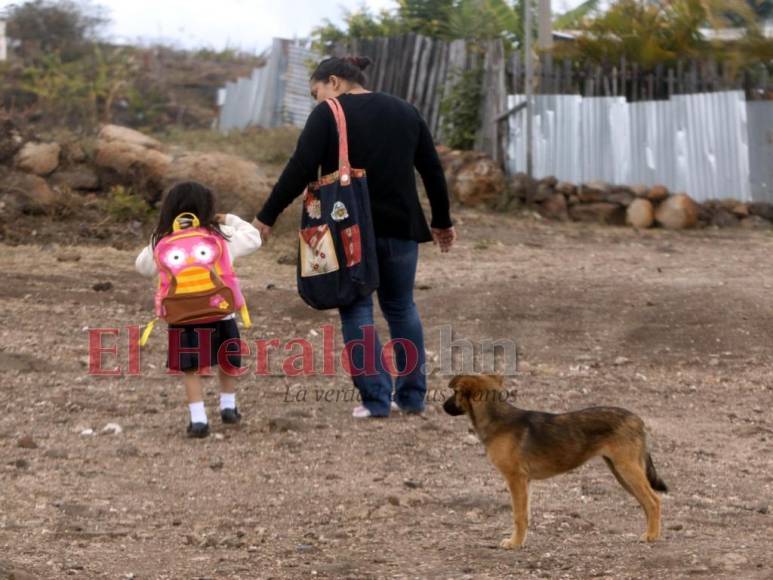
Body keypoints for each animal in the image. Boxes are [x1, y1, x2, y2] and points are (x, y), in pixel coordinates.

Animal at [444, 376, 668, 548]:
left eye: (455, 392)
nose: (443, 406)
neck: (497, 419)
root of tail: (637, 420)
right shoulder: (525, 482)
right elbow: (525, 515)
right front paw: (520, 541)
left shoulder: (515, 479)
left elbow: (518, 515)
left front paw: (514, 544)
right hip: (621, 472)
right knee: (647, 503)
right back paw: (651, 533)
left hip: (627, 469)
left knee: (654, 501)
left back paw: (652, 536)